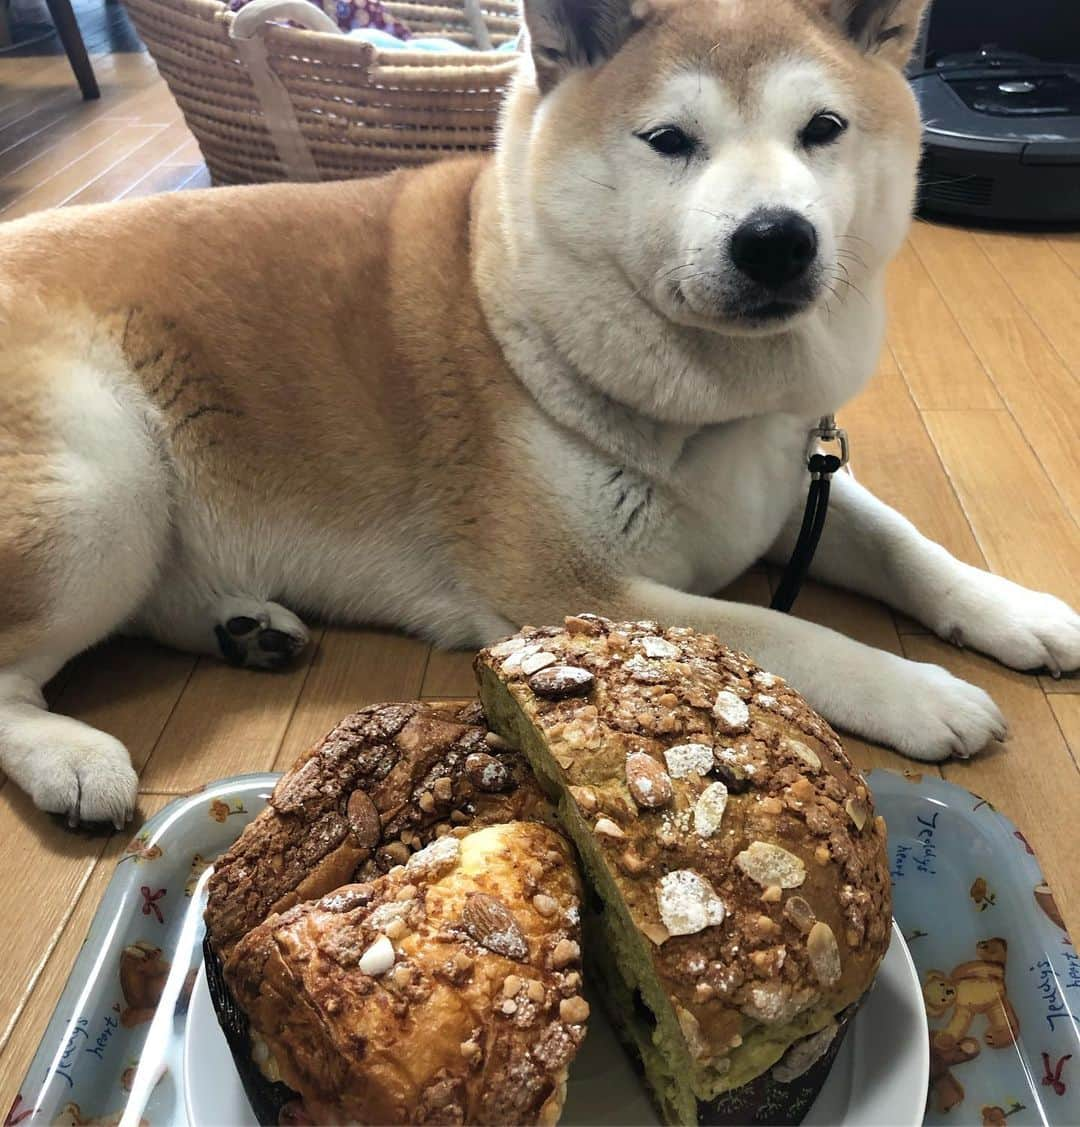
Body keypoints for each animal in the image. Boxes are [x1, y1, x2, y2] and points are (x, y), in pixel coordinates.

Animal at [2, 0, 1080, 829]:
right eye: (669, 140)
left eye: (823, 128)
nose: (777, 238)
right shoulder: (567, 590)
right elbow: (779, 636)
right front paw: (919, 690)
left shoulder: (791, 480)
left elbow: (906, 545)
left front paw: (1019, 611)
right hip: (103, 487)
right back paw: (71, 755)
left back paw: (243, 627)